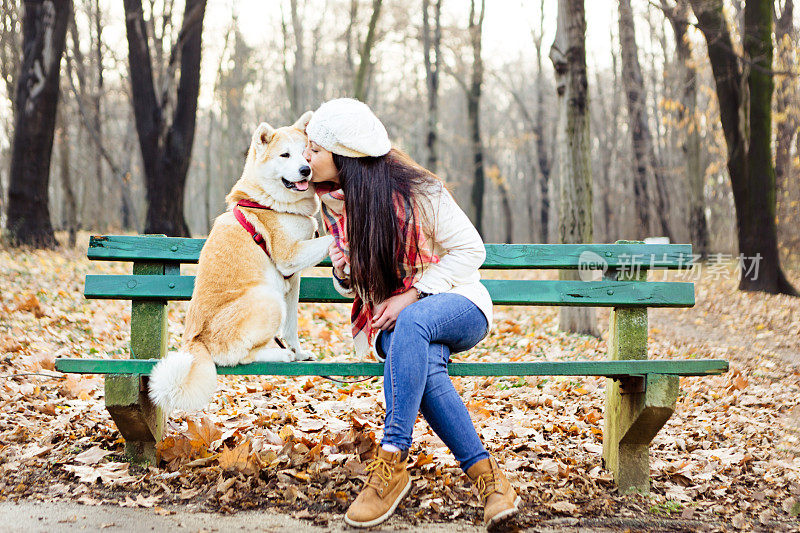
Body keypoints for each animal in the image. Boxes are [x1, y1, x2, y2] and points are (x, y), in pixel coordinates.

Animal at [150, 111, 334, 412]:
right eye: (285, 155)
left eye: (306, 154)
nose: (305, 170)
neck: (269, 202)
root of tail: (195, 341)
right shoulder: (289, 257)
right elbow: (330, 240)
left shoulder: (292, 282)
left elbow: (291, 328)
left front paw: (298, 351)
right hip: (268, 299)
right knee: (242, 358)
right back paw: (279, 356)